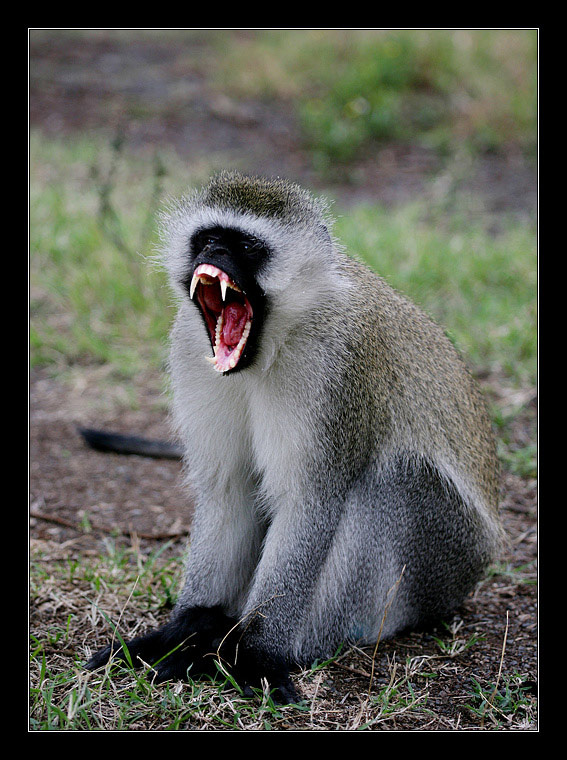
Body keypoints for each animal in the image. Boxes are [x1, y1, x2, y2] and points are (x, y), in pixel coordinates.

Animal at [85, 171, 501, 704]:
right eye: (208, 238)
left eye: (245, 245)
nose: (214, 253)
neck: (271, 345)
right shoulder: (188, 346)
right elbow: (230, 490)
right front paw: (183, 628)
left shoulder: (336, 370)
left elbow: (309, 502)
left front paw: (254, 653)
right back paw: (205, 631)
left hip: (444, 563)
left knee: (395, 480)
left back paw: (252, 646)